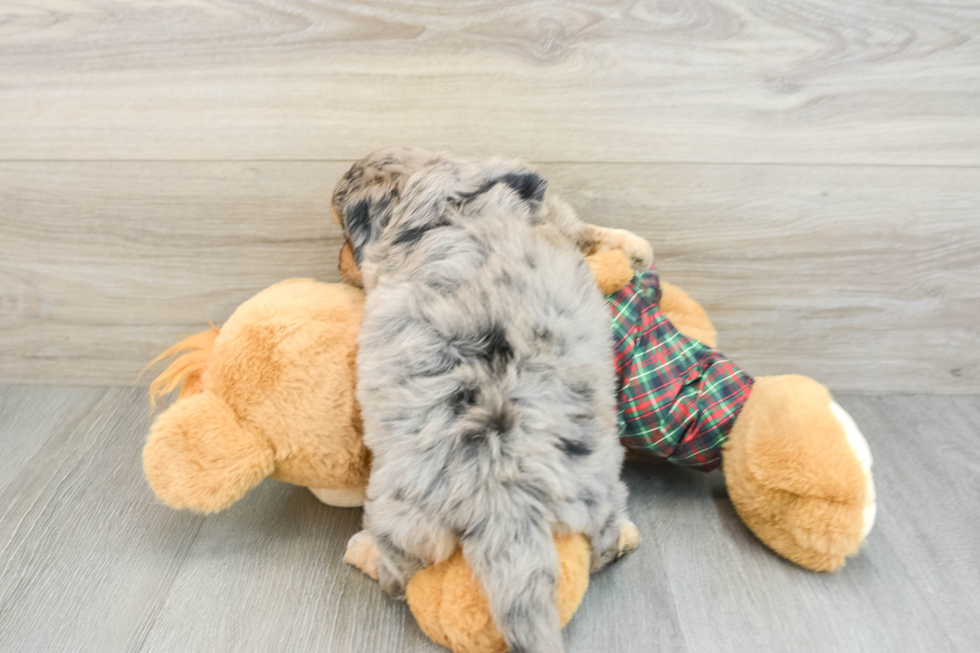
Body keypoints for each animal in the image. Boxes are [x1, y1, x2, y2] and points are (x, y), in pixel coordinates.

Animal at [334, 149, 652, 652]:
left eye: (344, 229)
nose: (336, 260)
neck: (456, 204)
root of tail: (505, 492)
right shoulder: (555, 219)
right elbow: (586, 228)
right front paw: (636, 247)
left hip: (400, 516)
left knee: (396, 574)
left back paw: (360, 550)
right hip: (600, 487)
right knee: (602, 543)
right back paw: (625, 533)